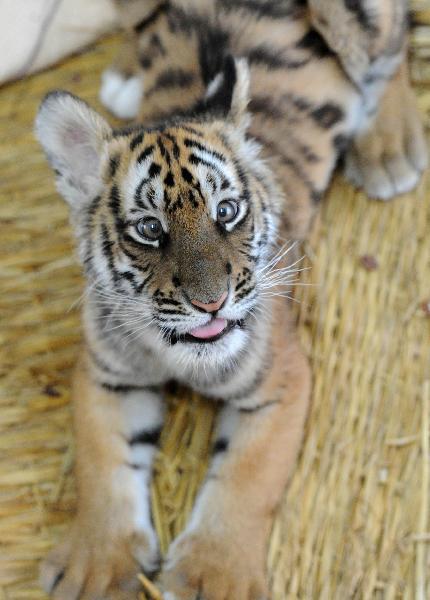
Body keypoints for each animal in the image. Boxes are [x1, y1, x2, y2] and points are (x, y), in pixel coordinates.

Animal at [36, 1, 426, 600]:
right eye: (149, 229)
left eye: (226, 212)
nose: (212, 304)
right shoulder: (106, 374)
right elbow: (102, 466)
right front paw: (95, 565)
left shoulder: (282, 382)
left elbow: (246, 479)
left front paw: (209, 576)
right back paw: (124, 77)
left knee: (393, 45)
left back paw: (389, 147)